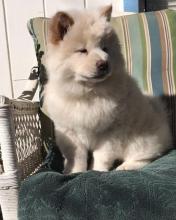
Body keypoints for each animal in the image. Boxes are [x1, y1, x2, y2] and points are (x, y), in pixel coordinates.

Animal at [44, 5, 172, 174]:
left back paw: (124, 167)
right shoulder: (70, 133)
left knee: (145, 156)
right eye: (82, 51)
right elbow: (76, 158)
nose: (104, 63)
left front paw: (97, 172)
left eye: (105, 49)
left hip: (141, 140)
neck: (88, 94)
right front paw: (75, 173)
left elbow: (101, 157)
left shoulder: (109, 134)